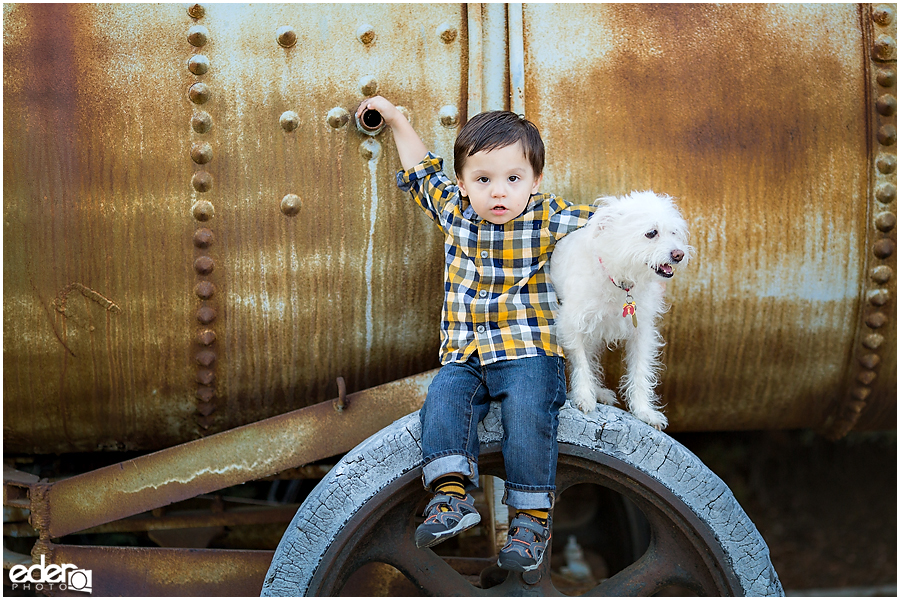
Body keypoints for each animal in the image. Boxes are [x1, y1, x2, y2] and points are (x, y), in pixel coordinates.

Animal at [548, 190, 688, 428]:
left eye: (674, 232)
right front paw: (584, 395)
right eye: (651, 233)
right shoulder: (571, 324)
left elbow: (640, 371)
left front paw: (644, 411)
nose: (679, 254)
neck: (621, 281)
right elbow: (581, 361)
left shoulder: (642, 332)